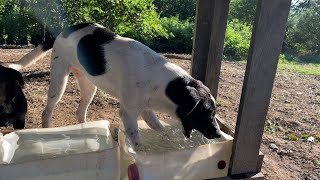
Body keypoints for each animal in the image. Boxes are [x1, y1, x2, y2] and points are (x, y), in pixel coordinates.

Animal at [4, 22, 220, 145]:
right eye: (207, 112)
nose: (218, 134)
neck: (161, 80)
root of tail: (64, 30)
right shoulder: (129, 114)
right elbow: (138, 142)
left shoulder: (146, 111)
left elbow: (161, 130)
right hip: (59, 82)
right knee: (47, 112)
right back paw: (47, 129)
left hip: (89, 86)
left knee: (80, 111)